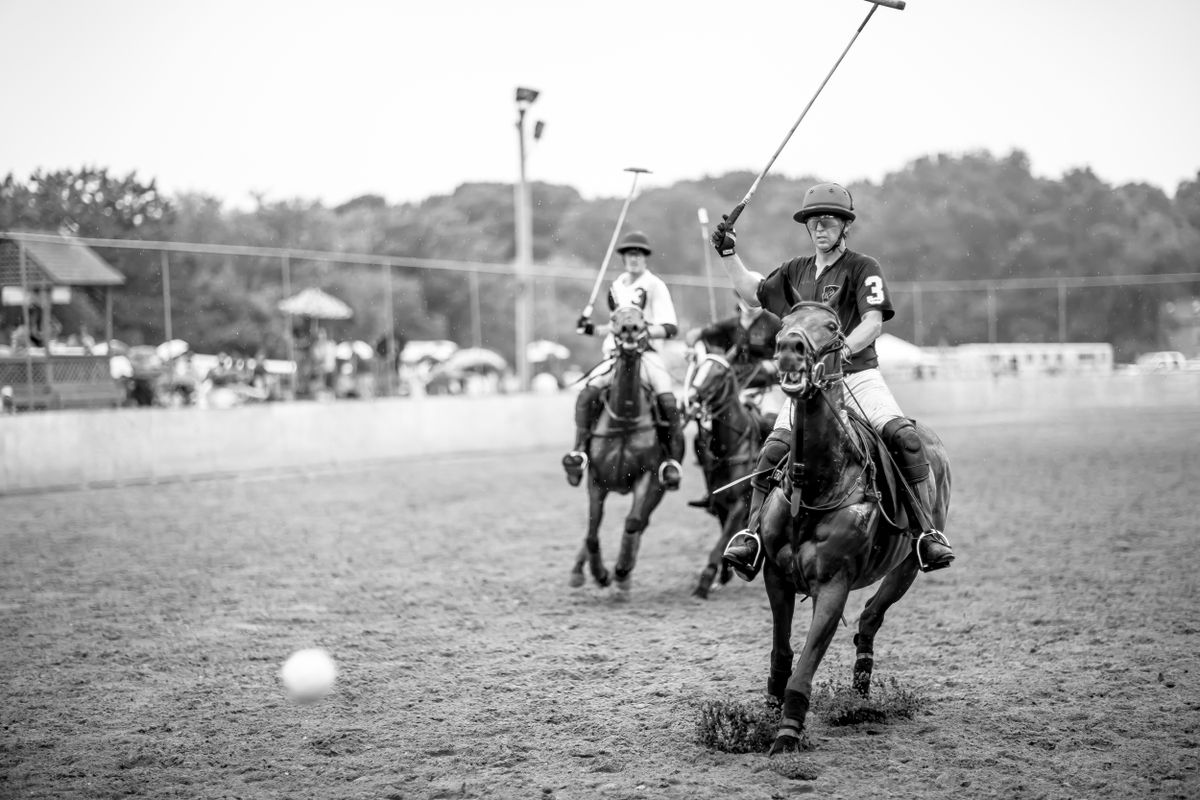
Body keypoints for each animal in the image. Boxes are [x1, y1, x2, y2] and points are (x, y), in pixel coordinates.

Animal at [566, 307, 672, 594]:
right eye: (614, 317)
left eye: (642, 318)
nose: (630, 329)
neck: (625, 417)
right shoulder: (596, 480)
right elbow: (592, 531)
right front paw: (599, 573)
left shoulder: (647, 476)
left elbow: (633, 522)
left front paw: (622, 571)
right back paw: (579, 571)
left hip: (661, 488)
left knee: (641, 522)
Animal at [686, 350, 768, 599]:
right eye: (700, 367)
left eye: (720, 372)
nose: (692, 398)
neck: (732, 447)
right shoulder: (722, 506)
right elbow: (724, 539)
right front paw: (722, 575)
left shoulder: (740, 505)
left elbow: (719, 544)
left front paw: (705, 582)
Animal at [753, 299, 950, 758]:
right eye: (784, 322)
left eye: (832, 327)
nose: (789, 350)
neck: (816, 483)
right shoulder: (776, 575)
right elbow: (782, 652)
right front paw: (768, 715)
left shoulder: (834, 584)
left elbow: (805, 666)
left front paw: (787, 734)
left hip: (907, 567)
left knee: (871, 618)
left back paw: (860, 691)